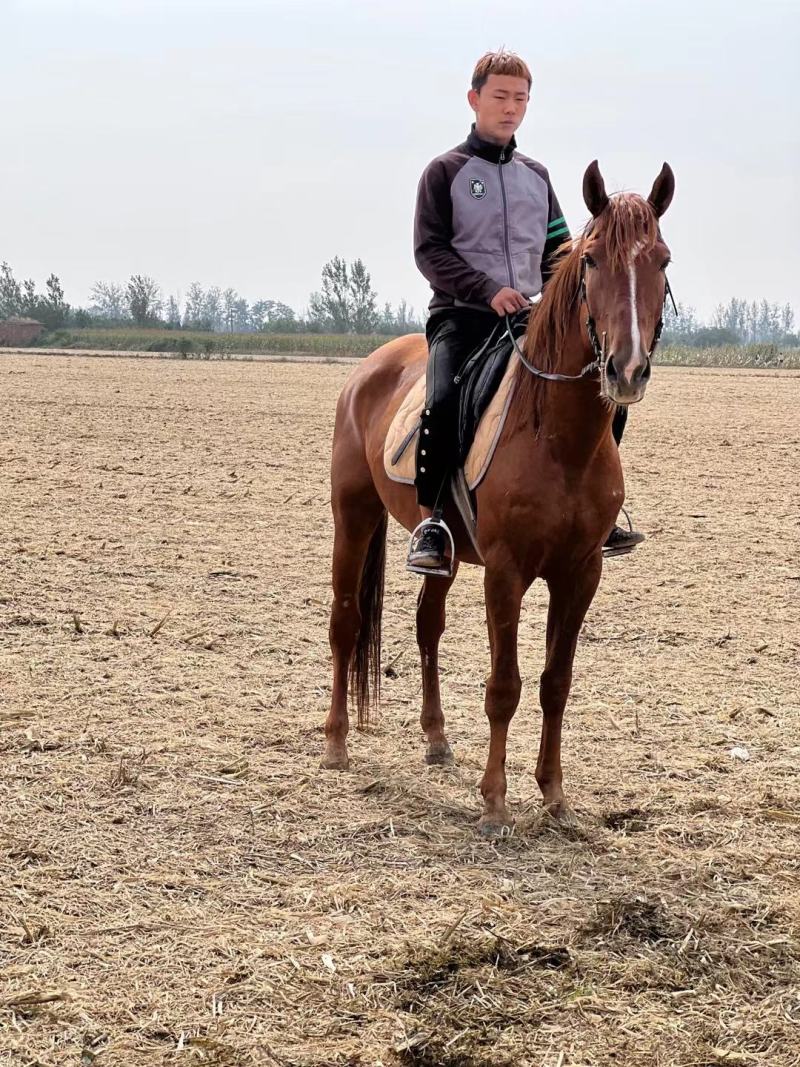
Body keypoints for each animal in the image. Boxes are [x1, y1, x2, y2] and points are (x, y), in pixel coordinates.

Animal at [323, 160, 675, 836]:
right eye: (592, 258)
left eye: (662, 259)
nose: (625, 370)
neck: (558, 438)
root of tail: (368, 367)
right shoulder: (506, 572)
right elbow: (504, 686)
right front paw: (493, 803)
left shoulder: (579, 573)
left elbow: (555, 681)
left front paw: (554, 795)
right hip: (353, 515)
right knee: (345, 622)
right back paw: (334, 744)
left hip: (444, 550)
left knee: (426, 625)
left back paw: (435, 740)